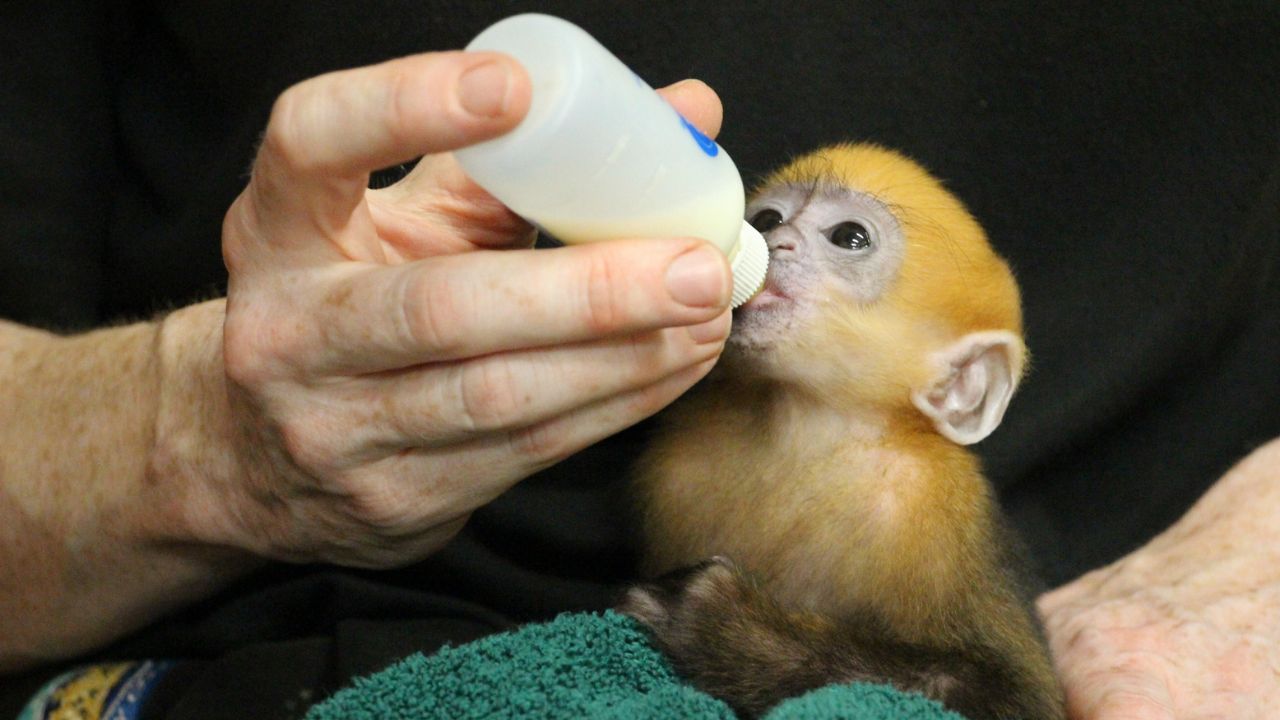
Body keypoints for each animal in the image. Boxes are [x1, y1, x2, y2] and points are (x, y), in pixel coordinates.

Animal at [619, 144, 1065, 720]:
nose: (774, 239)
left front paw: (728, 629)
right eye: (768, 218)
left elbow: (1013, 695)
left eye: (850, 236)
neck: (798, 432)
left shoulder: (934, 506)